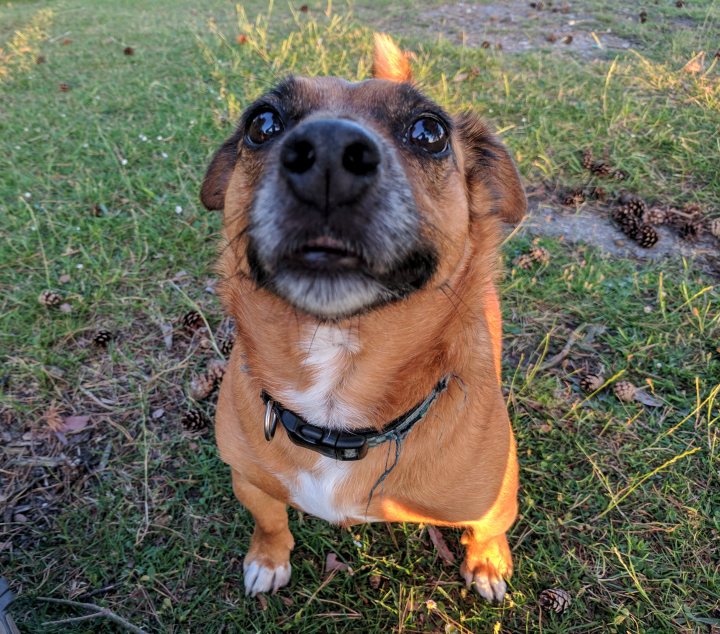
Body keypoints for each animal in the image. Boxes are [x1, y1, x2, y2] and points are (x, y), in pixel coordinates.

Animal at [200, 33, 524, 596]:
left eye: (430, 132)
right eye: (262, 123)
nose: (328, 151)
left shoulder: (497, 499)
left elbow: (487, 530)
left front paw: (487, 562)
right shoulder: (249, 480)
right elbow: (270, 520)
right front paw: (268, 557)